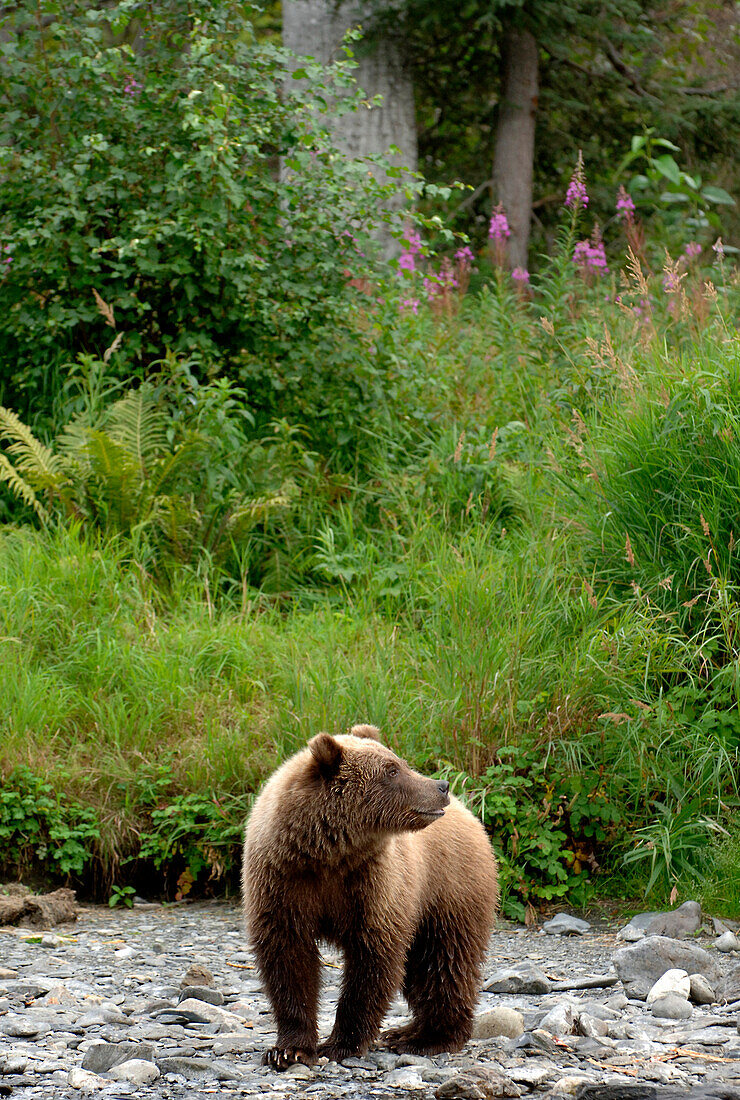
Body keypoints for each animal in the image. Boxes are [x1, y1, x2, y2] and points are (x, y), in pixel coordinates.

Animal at [240, 726, 496, 1069]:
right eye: (392, 770)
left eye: (399, 763)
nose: (441, 786)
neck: (329, 853)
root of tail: (469, 813)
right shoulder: (283, 881)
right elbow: (288, 958)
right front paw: (288, 1049)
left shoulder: (374, 885)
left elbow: (372, 959)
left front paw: (341, 1043)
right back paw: (407, 1031)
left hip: (448, 889)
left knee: (444, 960)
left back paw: (428, 1037)